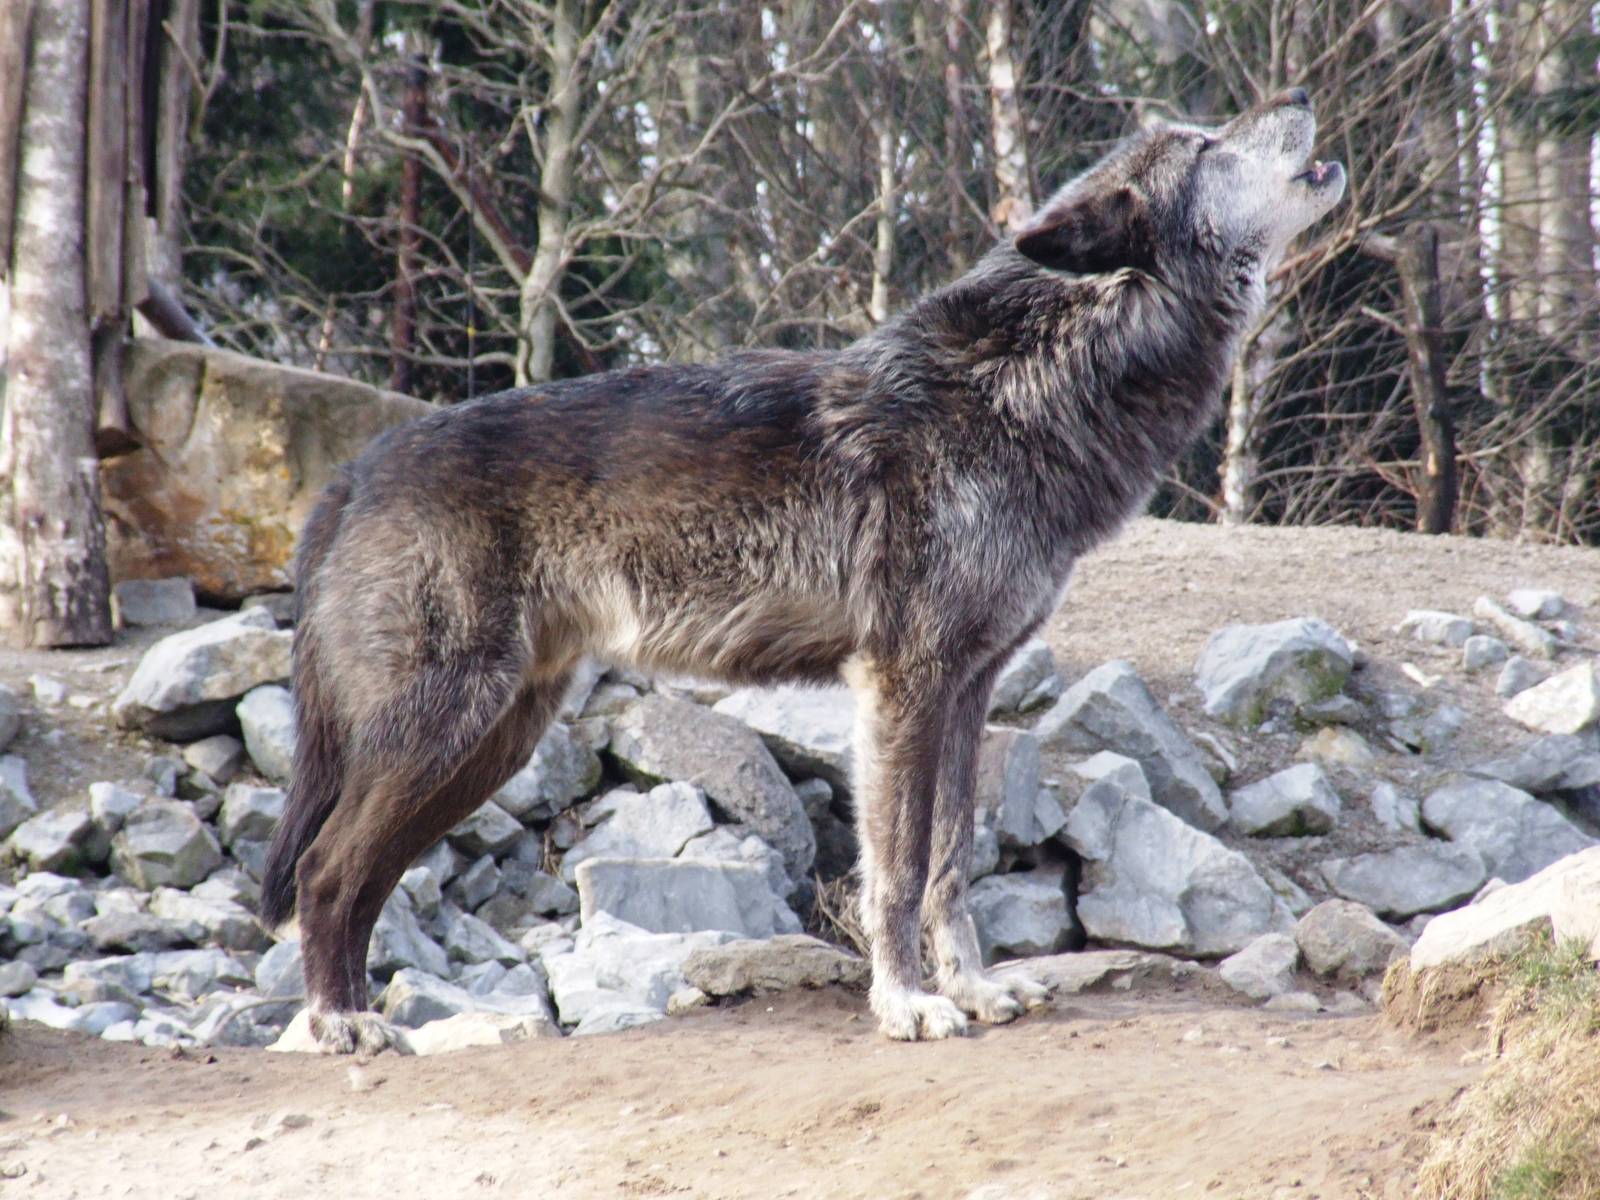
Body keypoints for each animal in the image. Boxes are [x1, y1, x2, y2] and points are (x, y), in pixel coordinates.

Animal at [260, 88, 1345, 1053]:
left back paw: (353, 1017)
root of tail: (353, 474)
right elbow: (897, 871)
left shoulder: (967, 691)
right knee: (324, 872)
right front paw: (908, 1005)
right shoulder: (904, 685)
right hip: (443, 729)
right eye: (1206, 143)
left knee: (359, 877)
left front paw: (971, 988)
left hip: (487, 745)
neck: (1026, 389)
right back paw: (337, 1025)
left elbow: (952, 862)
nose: (1297, 92)